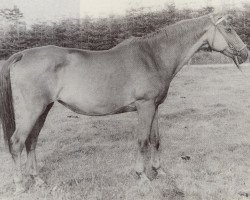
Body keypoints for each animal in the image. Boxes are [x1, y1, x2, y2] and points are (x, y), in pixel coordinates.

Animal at [0, 12, 248, 194]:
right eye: (228, 29)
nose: (245, 54)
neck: (153, 56)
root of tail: (22, 55)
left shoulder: (155, 106)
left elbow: (156, 139)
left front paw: (159, 171)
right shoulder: (144, 106)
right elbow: (142, 140)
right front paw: (142, 176)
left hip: (44, 109)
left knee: (32, 141)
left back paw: (38, 180)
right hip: (33, 110)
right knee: (17, 142)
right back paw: (20, 184)